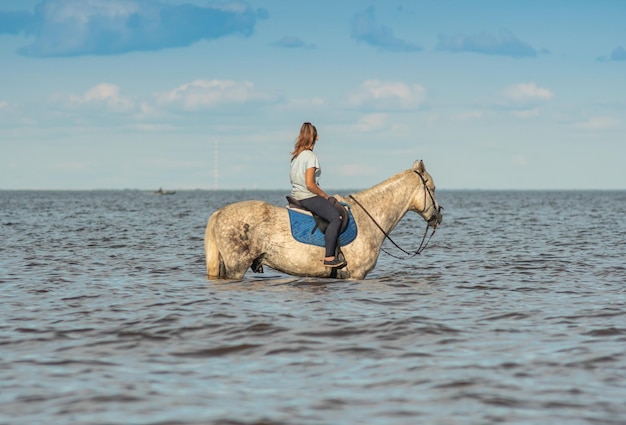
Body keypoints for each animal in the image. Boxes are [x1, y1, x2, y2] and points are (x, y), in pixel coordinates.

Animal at [204, 159, 438, 278]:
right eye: (433, 189)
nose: (438, 217)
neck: (368, 218)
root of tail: (220, 213)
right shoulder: (356, 274)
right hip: (236, 268)